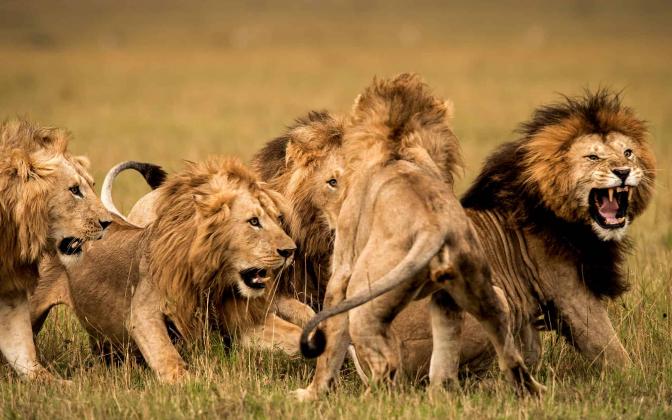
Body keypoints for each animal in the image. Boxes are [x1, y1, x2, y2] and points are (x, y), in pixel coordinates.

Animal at [0, 118, 111, 379]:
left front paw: (52, 381)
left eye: (92, 185)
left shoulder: (10, 286)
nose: (108, 222)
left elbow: (20, 346)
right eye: (74, 190)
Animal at [29, 157, 299, 382]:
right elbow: (169, 359)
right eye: (253, 221)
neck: (211, 280)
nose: (290, 251)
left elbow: (293, 333)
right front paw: (193, 385)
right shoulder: (143, 314)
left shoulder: (239, 320)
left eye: (278, 219)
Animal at [292, 74, 543, 400]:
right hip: (478, 291)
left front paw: (312, 393)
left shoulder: (342, 268)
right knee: (498, 348)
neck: (397, 145)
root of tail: (433, 228)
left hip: (364, 297)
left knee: (386, 363)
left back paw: (367, 400)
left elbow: (330, 343)